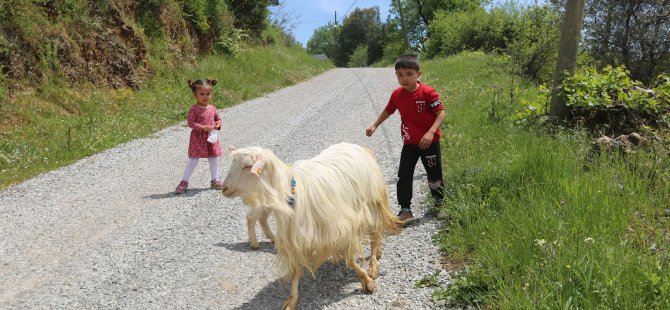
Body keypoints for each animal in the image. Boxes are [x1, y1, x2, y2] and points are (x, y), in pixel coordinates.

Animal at [222, 142, 404, 308]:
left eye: (247, 166)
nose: (223, 188)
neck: (291, 194)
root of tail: (355, 146)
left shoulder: (338, 228)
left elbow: (350, 259)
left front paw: (367, 281)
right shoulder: (295, 239)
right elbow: (295, 272)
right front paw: (291, 300)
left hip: (372, 203)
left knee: (376, 234)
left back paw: (373, 265)